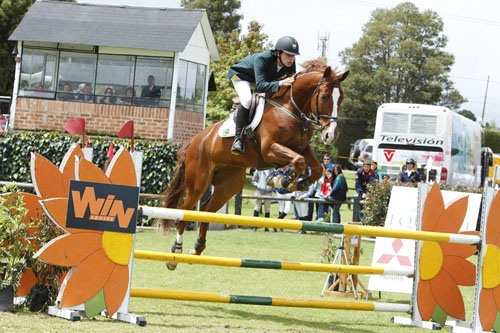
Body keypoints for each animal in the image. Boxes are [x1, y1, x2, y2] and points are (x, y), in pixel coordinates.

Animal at [161, 59, 348, 268]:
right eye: (324, 96)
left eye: (340, 99)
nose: (330, 135)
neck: (290, 108)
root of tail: (195, 141)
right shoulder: (269, 149)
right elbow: (298, 162)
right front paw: (285, 180)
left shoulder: (302, 148)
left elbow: (316, 169)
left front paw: (297, 183)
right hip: (198, 182)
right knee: (185, 212)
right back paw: (176, 253)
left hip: (229, 183)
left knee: (207, 210)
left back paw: (197, 249)